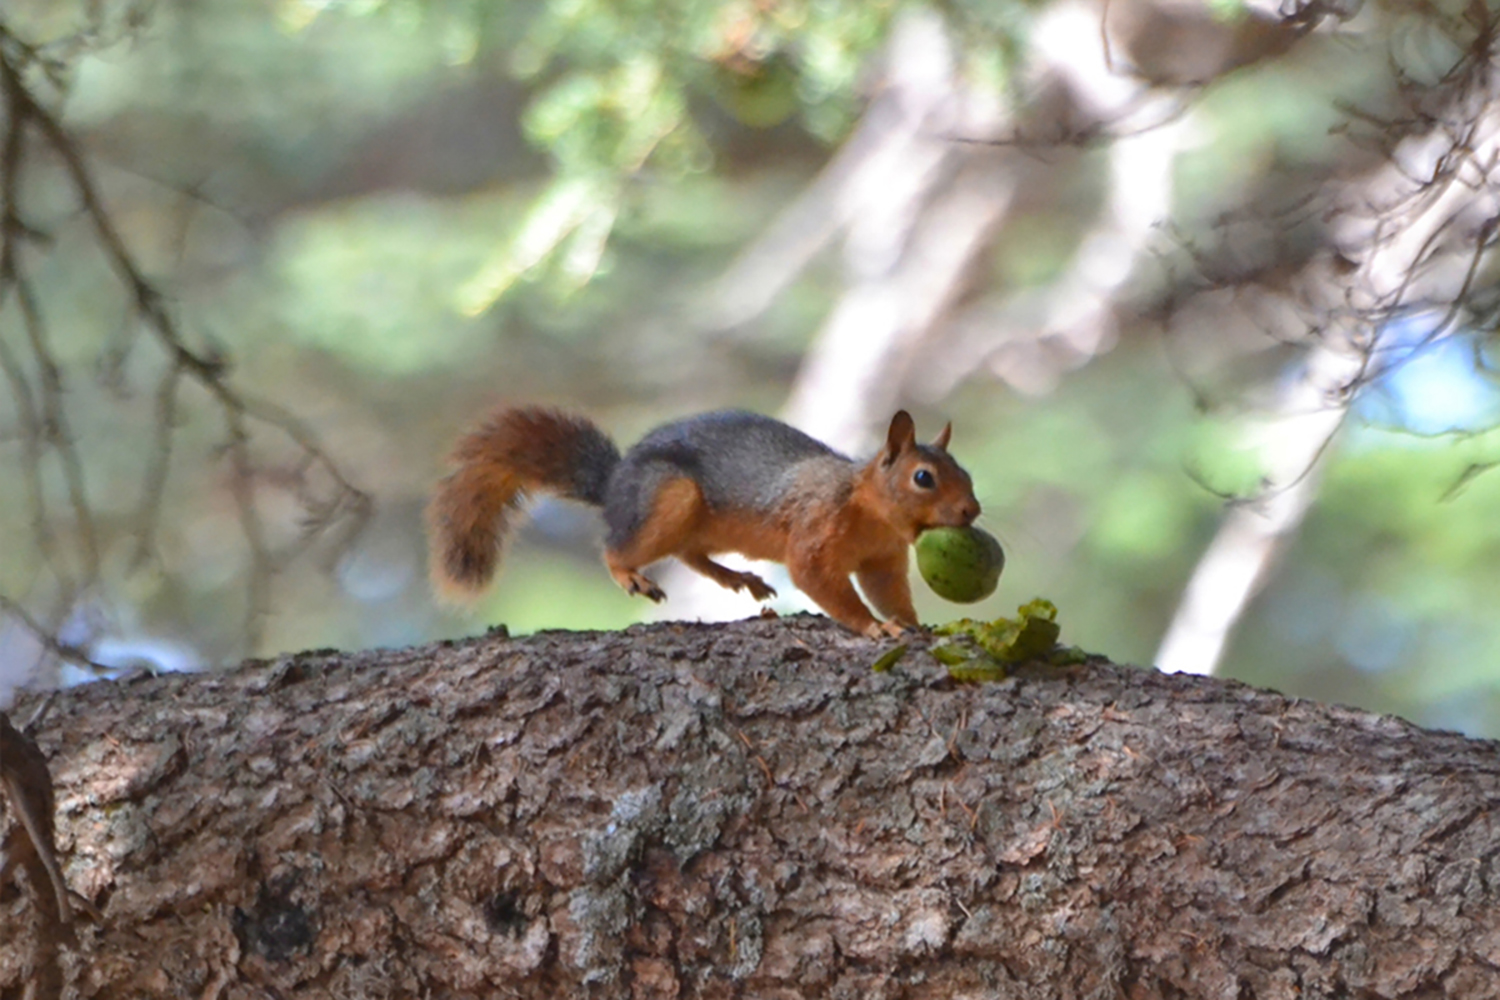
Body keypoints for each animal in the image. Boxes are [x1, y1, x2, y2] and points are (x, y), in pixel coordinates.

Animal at [426, 407, 984, 638]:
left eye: (966, 472)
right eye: (923, 478)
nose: (971, 511)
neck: (869, 509)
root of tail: (615, 484)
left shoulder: (882, 561)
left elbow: (889, 591)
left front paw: (911, 622)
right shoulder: (815, 528)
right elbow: (820, 581)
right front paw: (872, 627)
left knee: (691, 554)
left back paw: (739, 577)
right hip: (670, 500)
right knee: (620, 548)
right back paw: (630, 574)